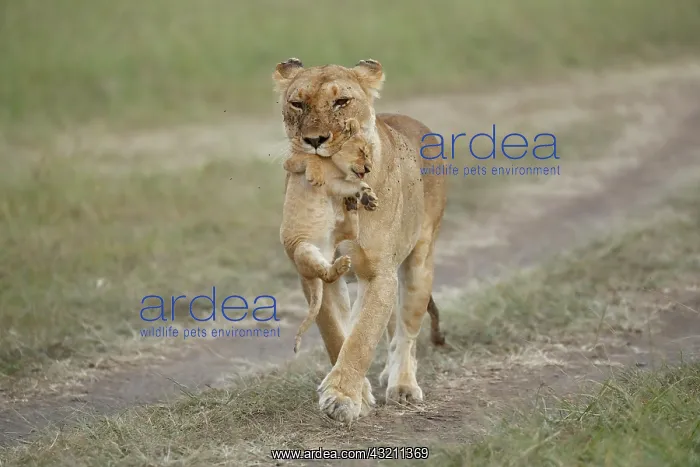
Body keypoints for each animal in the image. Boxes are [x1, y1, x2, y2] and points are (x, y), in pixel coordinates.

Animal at [281, 117, 378, 354]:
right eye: (362, 151)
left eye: (370, 154)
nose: (369, 168)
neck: (335, 167)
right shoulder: (291, 163)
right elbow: (310, 157)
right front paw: (315, 177)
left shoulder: (338, 185)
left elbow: (355, 185)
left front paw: (368, 197)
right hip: (303, 249)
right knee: (326, 276)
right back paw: (340, 265)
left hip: (334, 236)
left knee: (350, 232)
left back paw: (351, 207)